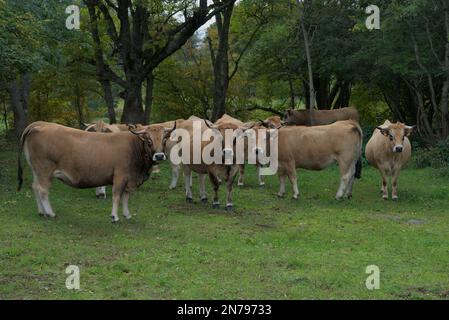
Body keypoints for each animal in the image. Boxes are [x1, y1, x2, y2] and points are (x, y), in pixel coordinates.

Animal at [17, 121, 173, 221]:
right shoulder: (120, 176)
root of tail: (39, 124)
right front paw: (114, 216)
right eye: (148, 139)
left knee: (35, 187)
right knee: (42, 190)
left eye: (164, 138)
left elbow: (125, 196)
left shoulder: (129, 178)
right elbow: (117, 195)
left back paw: (41, 212)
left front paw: (127, 214)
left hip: (36, 170)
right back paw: (50, 213)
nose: (159, 156)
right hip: (45, 170)